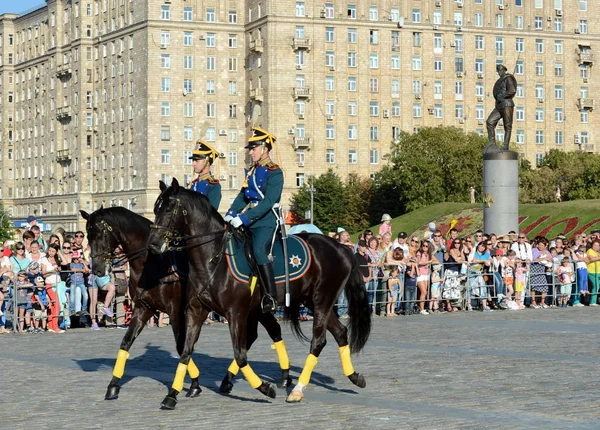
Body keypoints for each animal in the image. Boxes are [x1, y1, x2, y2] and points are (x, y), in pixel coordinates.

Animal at [81, 207, 292, 404]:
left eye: (99, 235)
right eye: (88, 237)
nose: (97, 269)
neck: (153, 263)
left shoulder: (175, 310)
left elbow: (180, 345)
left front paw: (193, 384)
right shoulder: (143, 309)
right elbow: (126, 343)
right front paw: (113, 386)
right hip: (256, 309)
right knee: (267, 332)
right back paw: (278, 377)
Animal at [147, 179, 370, 406]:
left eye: (169, 209)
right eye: (156, 209)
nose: (153, 244)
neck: (213, 259)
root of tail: (341, 247)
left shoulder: (236, 313)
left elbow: (240, 354)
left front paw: (264, 388)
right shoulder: (196, 310)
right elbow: (185, 351)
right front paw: (172, 395)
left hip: (322, 300)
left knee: (318, 341)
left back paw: (297, 389)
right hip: (312, 302)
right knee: (340, 332)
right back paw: (354, 376)